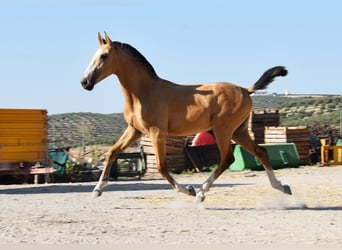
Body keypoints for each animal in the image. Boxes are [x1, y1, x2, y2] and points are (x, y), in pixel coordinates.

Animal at [80, 32, 292, 202]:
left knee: (227, 159)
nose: (85, 82)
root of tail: (246, 90)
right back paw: (282, 187)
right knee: (260, 152)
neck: (143, 93)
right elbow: (112, 152)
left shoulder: (157, 133)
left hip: (223, 130)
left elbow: (162, 167)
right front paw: (97, 190)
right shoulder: (135, 130)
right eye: (93, 56)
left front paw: (188, 190)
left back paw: (201, 192)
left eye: (104, 56)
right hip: (238, 132)